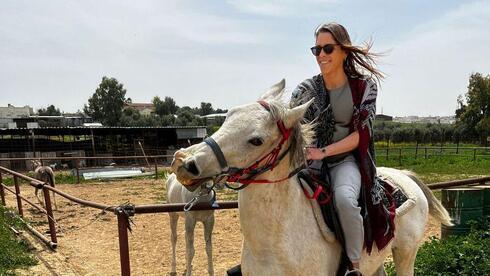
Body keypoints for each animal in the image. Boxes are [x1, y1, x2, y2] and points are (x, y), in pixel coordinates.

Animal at [171, 80, 452, 276]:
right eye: (228, 116)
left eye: (256, 140)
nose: (186, 163)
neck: (276, 239)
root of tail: (405, 177)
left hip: (406, 254)